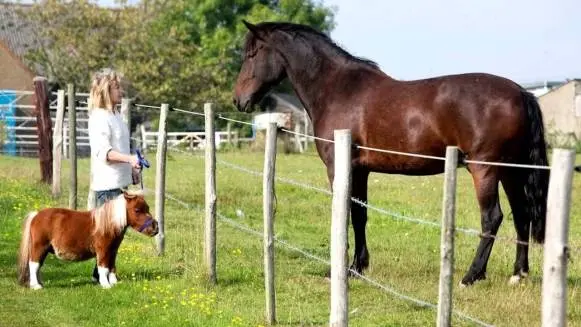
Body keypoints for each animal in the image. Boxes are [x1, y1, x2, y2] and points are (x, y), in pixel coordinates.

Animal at [18, 191, 159, 290]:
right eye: (137, 210)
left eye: (147, 208)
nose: (155, 227)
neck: (107, 223)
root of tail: (36, 215)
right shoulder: (103, 250)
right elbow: (104, 267)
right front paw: (106, 285)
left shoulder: (113, 250)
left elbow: (112, 266)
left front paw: (114, 282)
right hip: (39, 247)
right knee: (34, 264)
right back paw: (36, 286)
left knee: (37, 266)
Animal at [231, 20, 548, 288]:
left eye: (253, 53)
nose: (238, 100)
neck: (338, 89)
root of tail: (521, 92)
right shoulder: (360, 170)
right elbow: (360, 214)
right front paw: (357, 267)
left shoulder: (339, 167)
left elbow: (346, 213)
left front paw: (342, 269)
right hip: (510, 170)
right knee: (521, 215)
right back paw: (518, 274)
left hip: (485, 169)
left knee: (492, 218)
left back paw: (471, 275)